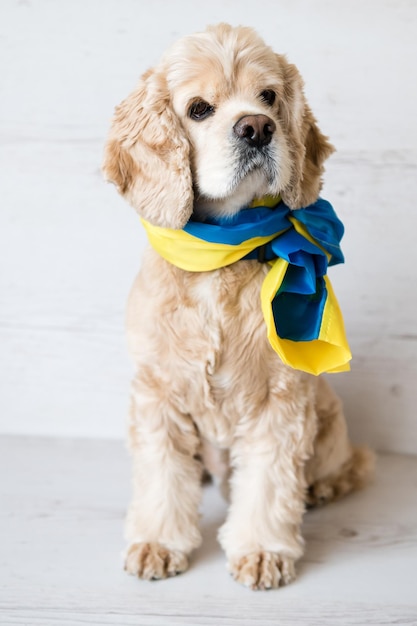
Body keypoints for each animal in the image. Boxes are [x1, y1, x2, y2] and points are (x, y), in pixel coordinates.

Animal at [101, 24, 374, 588]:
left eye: (268, 97)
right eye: (199, 109)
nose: (257, 128)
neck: (220, 257)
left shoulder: (281, 399)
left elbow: (269, 482)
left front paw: (263, 551)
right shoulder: (158, 391)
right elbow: (162, 475)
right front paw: (158, 543)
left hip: (327, 415)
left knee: (351, 464)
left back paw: (323, 487)